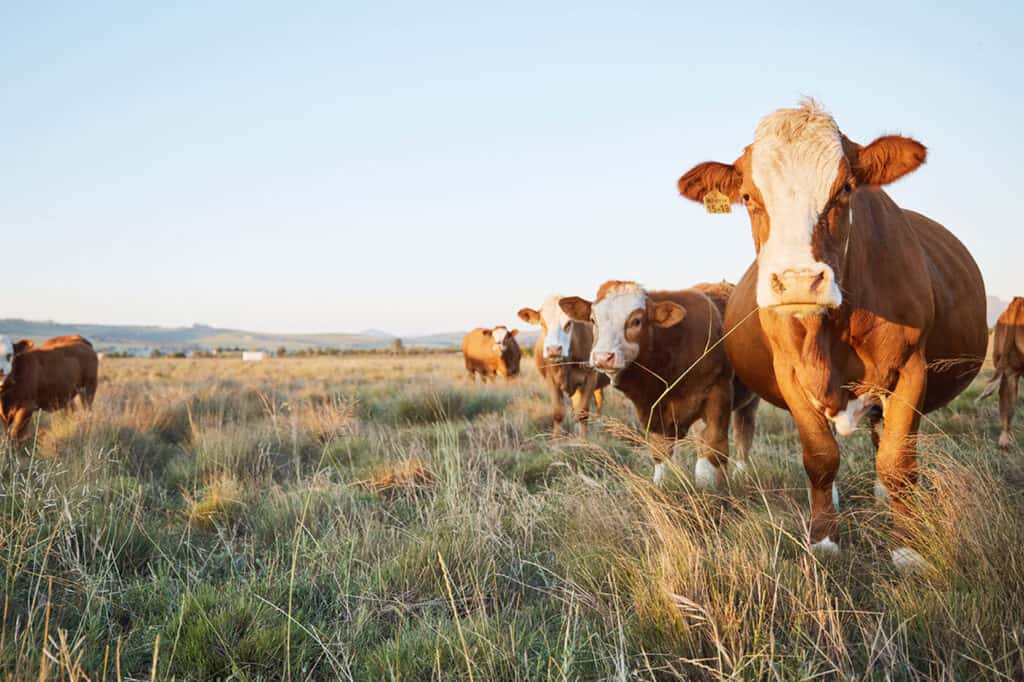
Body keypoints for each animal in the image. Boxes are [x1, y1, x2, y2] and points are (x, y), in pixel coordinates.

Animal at [518, 295, 609, 437]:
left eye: (568, 323)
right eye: (542, 324)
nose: (554, 349)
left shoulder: (590, 377)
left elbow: (583, 413)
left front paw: (583, 439)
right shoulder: (551, 380)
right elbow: (558, 413)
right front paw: (556, 440)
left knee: (599, 401)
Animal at [560, 280, 759, 487]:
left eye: (636, 321)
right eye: (593, 320)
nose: (602, 357)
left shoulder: (718, 394)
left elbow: (712, 452)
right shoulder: (653, 410)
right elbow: (661, 453)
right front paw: (660, 484)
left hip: (749, 401)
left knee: (743, 433)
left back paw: (741, 474)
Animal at [677, 100, 987, 571]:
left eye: (844, 189)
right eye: (748, 196)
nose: (799, 281)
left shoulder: (911, 368)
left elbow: (898, 461)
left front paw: (907, 548)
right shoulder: (790, 375)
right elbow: (820, 458)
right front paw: (824, 538)